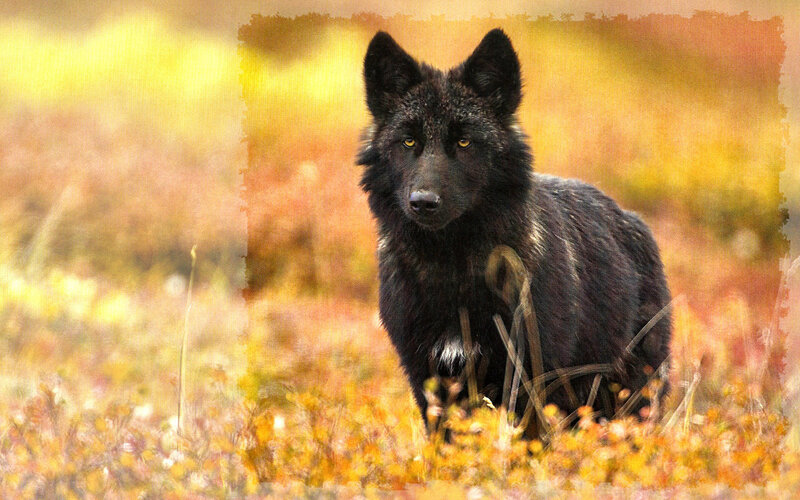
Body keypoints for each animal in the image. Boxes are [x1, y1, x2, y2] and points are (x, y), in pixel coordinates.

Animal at [357, 29, 671, 431]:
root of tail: (631, 218)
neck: (454, 272)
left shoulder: (529, 383)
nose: (423, 202)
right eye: (408, 141)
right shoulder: (429, 383)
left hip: (625, 405)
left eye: (464, 141)